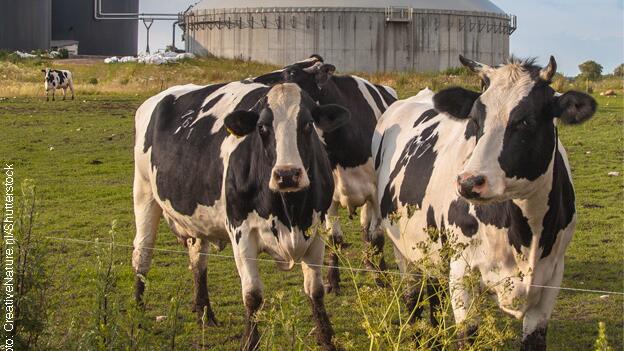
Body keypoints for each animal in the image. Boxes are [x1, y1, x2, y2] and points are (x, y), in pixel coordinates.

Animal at [132, 80, 348, 351]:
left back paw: (205, 313)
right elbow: (252, 295)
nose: (287, 175)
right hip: (144, 193)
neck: (289, 211)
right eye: (262, 127)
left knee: (198, 261)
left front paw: (327, 339)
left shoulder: (315, 230)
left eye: (308, 124)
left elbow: (316, 290)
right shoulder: (241, 232)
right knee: (142, 253)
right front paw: (250, 341)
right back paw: (138, 311)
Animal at [372, 56, 596, 350]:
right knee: (414, 299)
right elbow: (467, 336)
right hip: (404, 249)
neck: (527, 234)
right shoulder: (462, 274)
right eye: (475, 120)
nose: (469, 182)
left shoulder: (551, 280)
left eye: (526, 121)